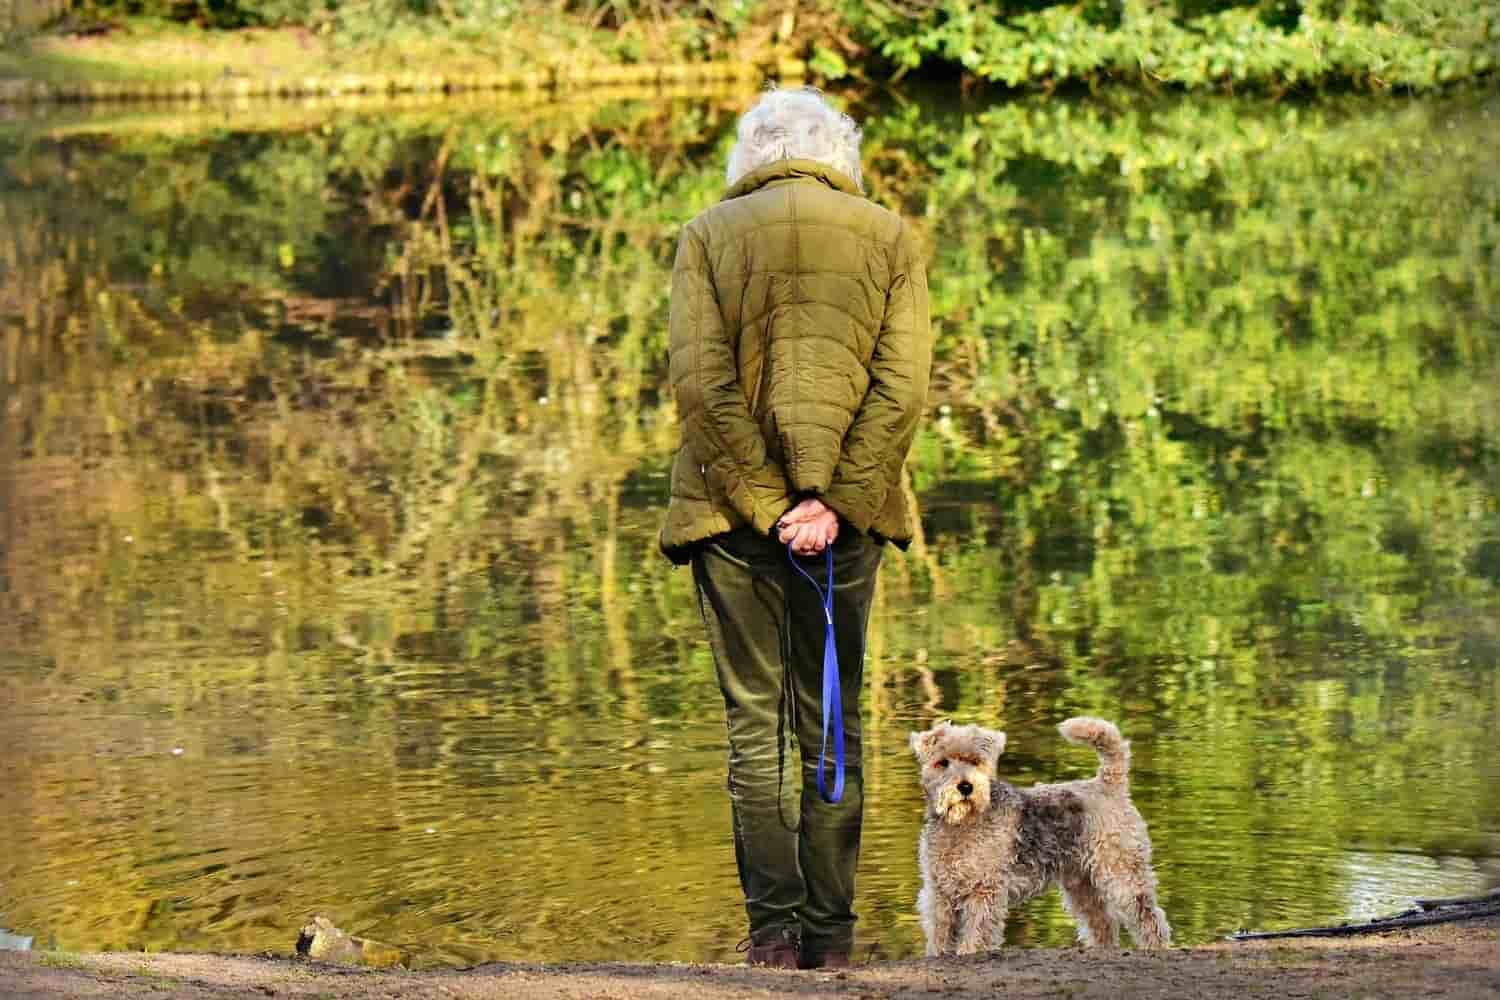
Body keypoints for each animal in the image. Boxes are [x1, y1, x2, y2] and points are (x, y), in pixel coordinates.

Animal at [900, 716, 1170, 959]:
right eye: (942, 762)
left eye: (976, 761)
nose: (966, 787)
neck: (961, 825)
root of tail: (1108, 783)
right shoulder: (939, 890)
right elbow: (940, 930)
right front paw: (937, 953)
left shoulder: (984, 888)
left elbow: (978, 928)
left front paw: (970, 952)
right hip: (1082, 884)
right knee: (1103, 922)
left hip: (1121, 872)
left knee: (1149, 916)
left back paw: (1156, 948)